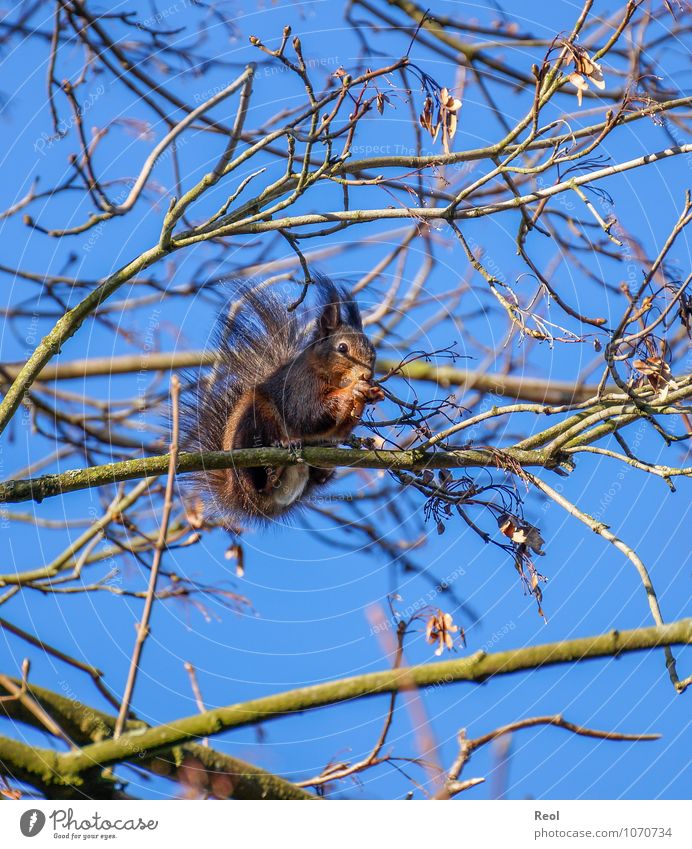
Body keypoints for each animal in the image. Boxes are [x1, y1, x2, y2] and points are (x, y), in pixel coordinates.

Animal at [181, 274, 386, 524]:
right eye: (342, 348)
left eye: (373, 354)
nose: (366, 375)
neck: (323, 371)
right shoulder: (300, 387)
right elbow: (309, 415)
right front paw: (354, 390)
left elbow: (336, 431)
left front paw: (371, 394)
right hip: (254, 422)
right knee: (259, 481)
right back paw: (280, 455)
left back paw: (321, 469)